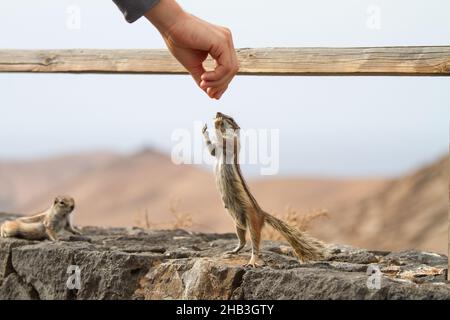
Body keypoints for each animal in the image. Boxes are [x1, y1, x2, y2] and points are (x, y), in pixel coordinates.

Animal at [203, 112, 326, 268]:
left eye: (230, 118)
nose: (218, 113)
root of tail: (262, 213)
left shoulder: (232, 143)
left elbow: (224, 140)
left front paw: (217, 124)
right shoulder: (216, 150)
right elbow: (211, 149)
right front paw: (204, 129)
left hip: (252, 222)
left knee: (255, 245)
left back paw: (252, 261)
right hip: (238, 222)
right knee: (243, 241)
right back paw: (234, 251)